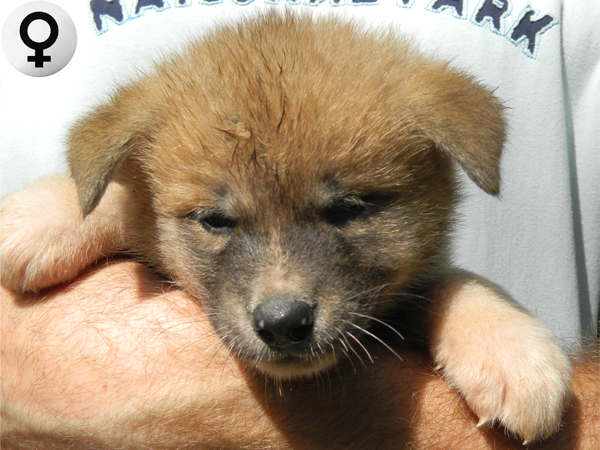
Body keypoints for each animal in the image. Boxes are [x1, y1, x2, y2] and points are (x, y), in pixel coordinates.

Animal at [0, 11, 571, 443]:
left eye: (349, 208)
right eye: (215, 221)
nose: (282, 323)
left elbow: (454, 283)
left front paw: (510, 349)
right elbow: (117, 199)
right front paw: (45, 214)